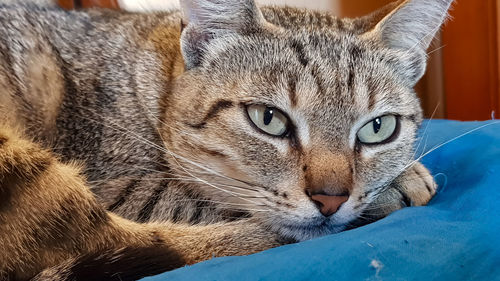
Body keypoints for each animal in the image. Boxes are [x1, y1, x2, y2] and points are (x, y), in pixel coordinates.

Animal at [0, 0, 454, 278]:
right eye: (269, 119)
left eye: (378, 128)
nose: (331, 199)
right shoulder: (116, 184)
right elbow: (203, 203)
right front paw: (401, 181)